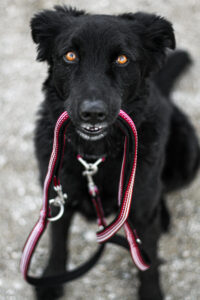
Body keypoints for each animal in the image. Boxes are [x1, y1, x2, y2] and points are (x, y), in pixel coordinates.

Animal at [30, 5, 200, 300]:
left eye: (122, 59)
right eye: (70, 55)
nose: (92, 113)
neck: (94, 158)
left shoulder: (141, 213)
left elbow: (148, 261)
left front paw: (151, 293)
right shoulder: (57, 198)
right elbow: (58, 244)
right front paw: (52, 280)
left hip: (188, 159)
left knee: (163, 192)